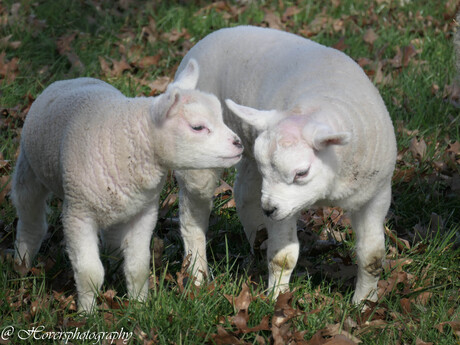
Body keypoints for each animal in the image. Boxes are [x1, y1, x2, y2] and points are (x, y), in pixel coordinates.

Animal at [9, 59, 244, 312]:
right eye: (198, 127)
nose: (239, 144)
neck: (135, 142)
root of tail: (72, 78)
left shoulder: (144, 212)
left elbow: (138, 268)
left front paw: (139, 307)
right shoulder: (78, 214)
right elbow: (90, 273)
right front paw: (87, 313)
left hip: (116, 204)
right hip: (29, 167)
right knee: (30, 217)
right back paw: (22, 263)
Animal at [174, 25, 398, 302]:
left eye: (301, 173)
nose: (269, 209)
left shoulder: (376, 196)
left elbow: (372, 258)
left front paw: (364, 304)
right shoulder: (282, 209)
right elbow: (283, 258)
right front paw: (276, 299)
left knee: (244, 194)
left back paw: (258, 241)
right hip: (199, 160)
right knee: (192, 216)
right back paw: (196, 276)